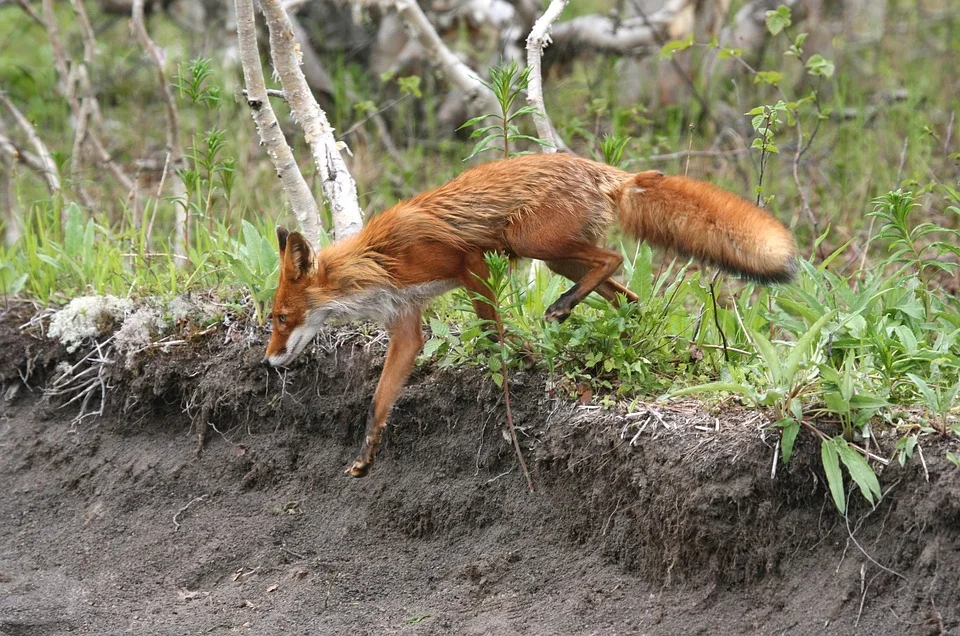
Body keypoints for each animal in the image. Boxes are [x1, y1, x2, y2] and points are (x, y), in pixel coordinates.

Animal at [262, 152, 796, 474]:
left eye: (281, 318)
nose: (268, 362)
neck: (378, 261)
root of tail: (606, 171)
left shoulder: (468, 262)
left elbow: (491, 328)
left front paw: (519, 359)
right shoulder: (407, 326)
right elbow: (379, 401)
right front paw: (365, 456)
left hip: (530, 241)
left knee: (612, 260)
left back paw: (562, 310)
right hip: (557, 257)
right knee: (626, 294)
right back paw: (623, 333)